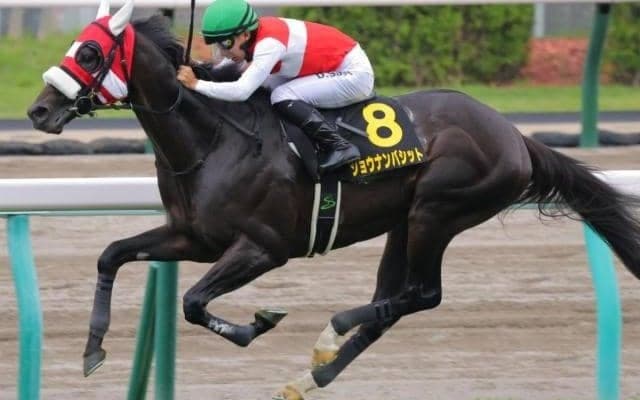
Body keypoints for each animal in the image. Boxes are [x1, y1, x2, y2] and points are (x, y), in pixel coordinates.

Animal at [27, 1, 640, 399]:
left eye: (89, 51)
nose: (37, 111)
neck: (212, 140)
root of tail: (515, 135)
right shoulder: (192, 238)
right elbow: (112, 254)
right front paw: (92, 349)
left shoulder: (264, 248)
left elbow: (195, 303)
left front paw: (259, 322)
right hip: (405, 222)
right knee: (396, 302)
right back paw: (311, 375)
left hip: (438, 211)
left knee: (424, 295)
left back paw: (329, 333)